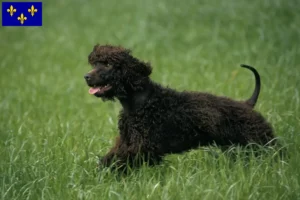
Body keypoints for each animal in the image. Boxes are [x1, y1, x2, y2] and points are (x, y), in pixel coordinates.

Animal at [83, 44, 276, 170]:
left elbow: (120, 161)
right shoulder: (127, 141)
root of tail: (247, 103)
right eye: (95, 64)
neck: (141, 102)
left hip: (260, 139)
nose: (86, 76)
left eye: (108, 64)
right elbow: (110, 158)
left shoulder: (143, 146)